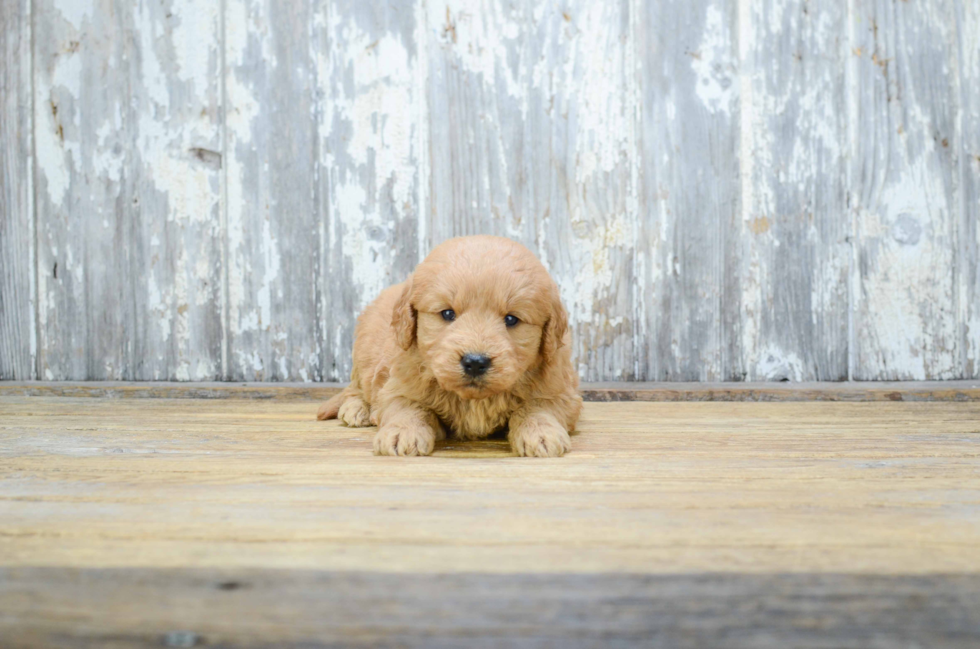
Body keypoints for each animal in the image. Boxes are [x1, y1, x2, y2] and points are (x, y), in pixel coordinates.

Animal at [316, 234, 580, 456]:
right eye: (447, 313)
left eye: (512, 319)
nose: (475, 362)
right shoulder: (398, 385)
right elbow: (408, 407)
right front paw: (402, 432)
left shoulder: (561, 391)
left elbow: (538, 407)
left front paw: (540, 432)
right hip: (363, 350)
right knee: (356, 387)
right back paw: (357, 408)